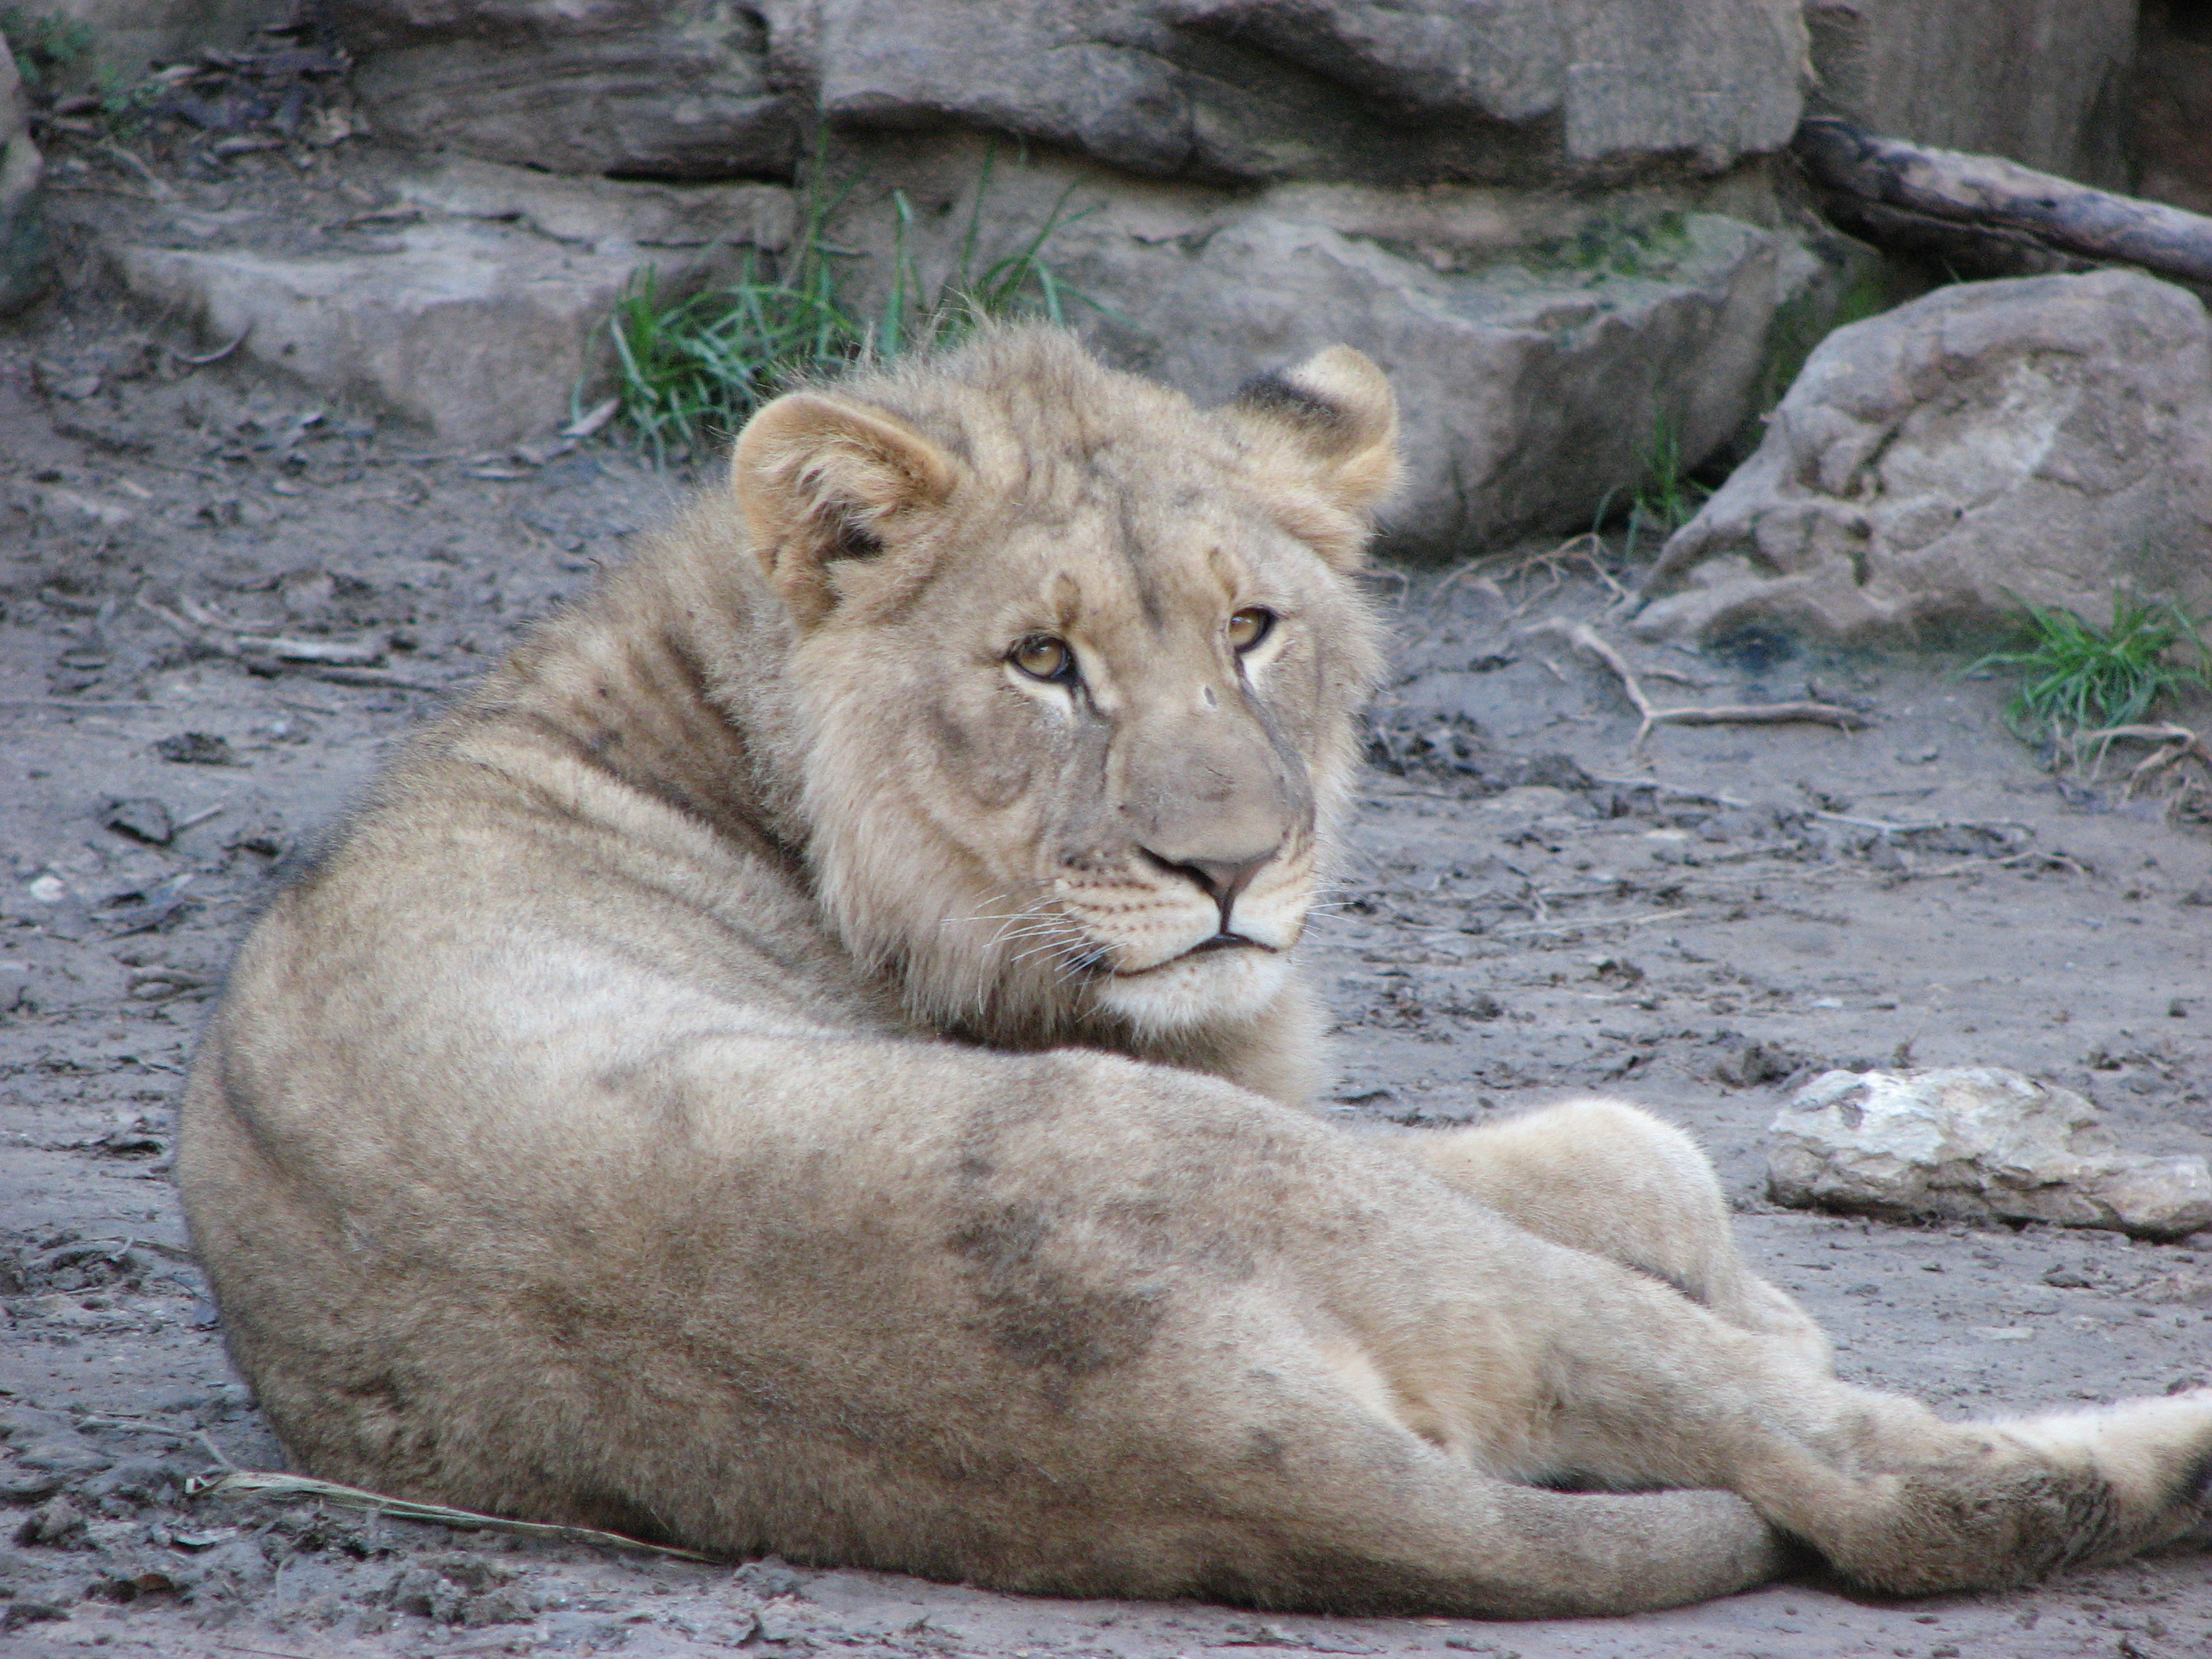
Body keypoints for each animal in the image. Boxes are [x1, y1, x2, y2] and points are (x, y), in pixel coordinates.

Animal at [179, 327, 2212, 1618]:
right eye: (1041, 660)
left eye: (1252, 629)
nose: (1228, 871)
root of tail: (1213, 1442)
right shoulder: (1284, 1099)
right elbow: (1647, 1149)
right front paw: (1758, 1290)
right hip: (1295, 1197)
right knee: (1909, 1492)